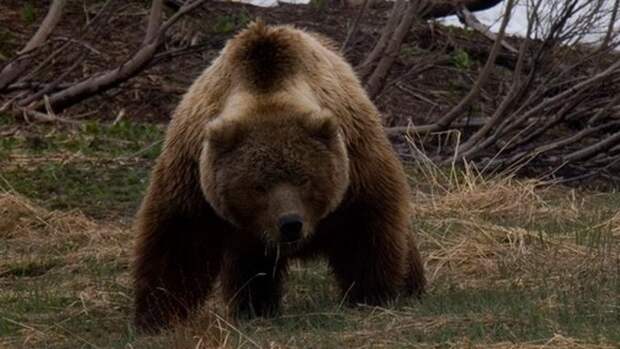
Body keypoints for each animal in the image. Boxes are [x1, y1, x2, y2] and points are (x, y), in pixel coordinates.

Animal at [134, 21, 426, 332]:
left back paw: (412, 285)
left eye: (305, 179)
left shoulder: (355, 164)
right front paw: (156, 315)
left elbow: (365, 228)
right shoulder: (194, 175)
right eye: (258, 186)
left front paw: (373, 293)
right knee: (249, 267)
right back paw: (254, 307)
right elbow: (179, 241)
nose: (290, 224)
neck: (266, 89)